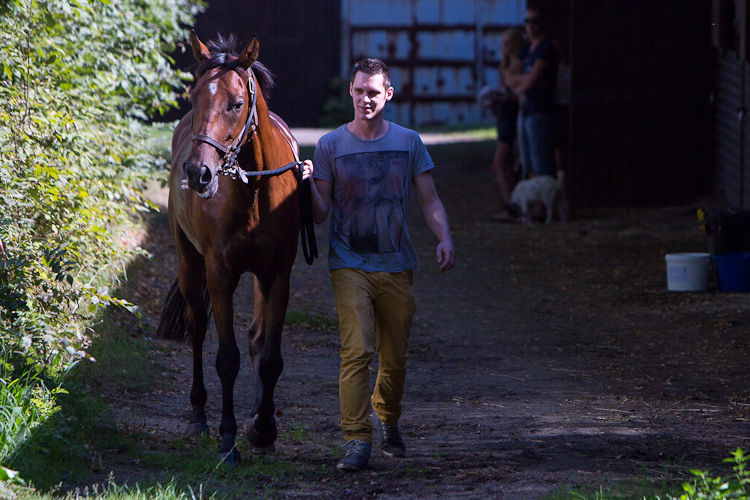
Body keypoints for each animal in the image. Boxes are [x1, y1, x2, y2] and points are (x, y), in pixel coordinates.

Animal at [157, 32, 312, 464]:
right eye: (194, 98)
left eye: (237, 103)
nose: (198, 172)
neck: (254, 191)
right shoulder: (219, 273)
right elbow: (227, 359)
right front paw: (228, 439)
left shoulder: (278, 273)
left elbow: (270, 355)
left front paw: (263, 428)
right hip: (189, 263)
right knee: (196, 327)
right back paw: (198, 417)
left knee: (257, 337)